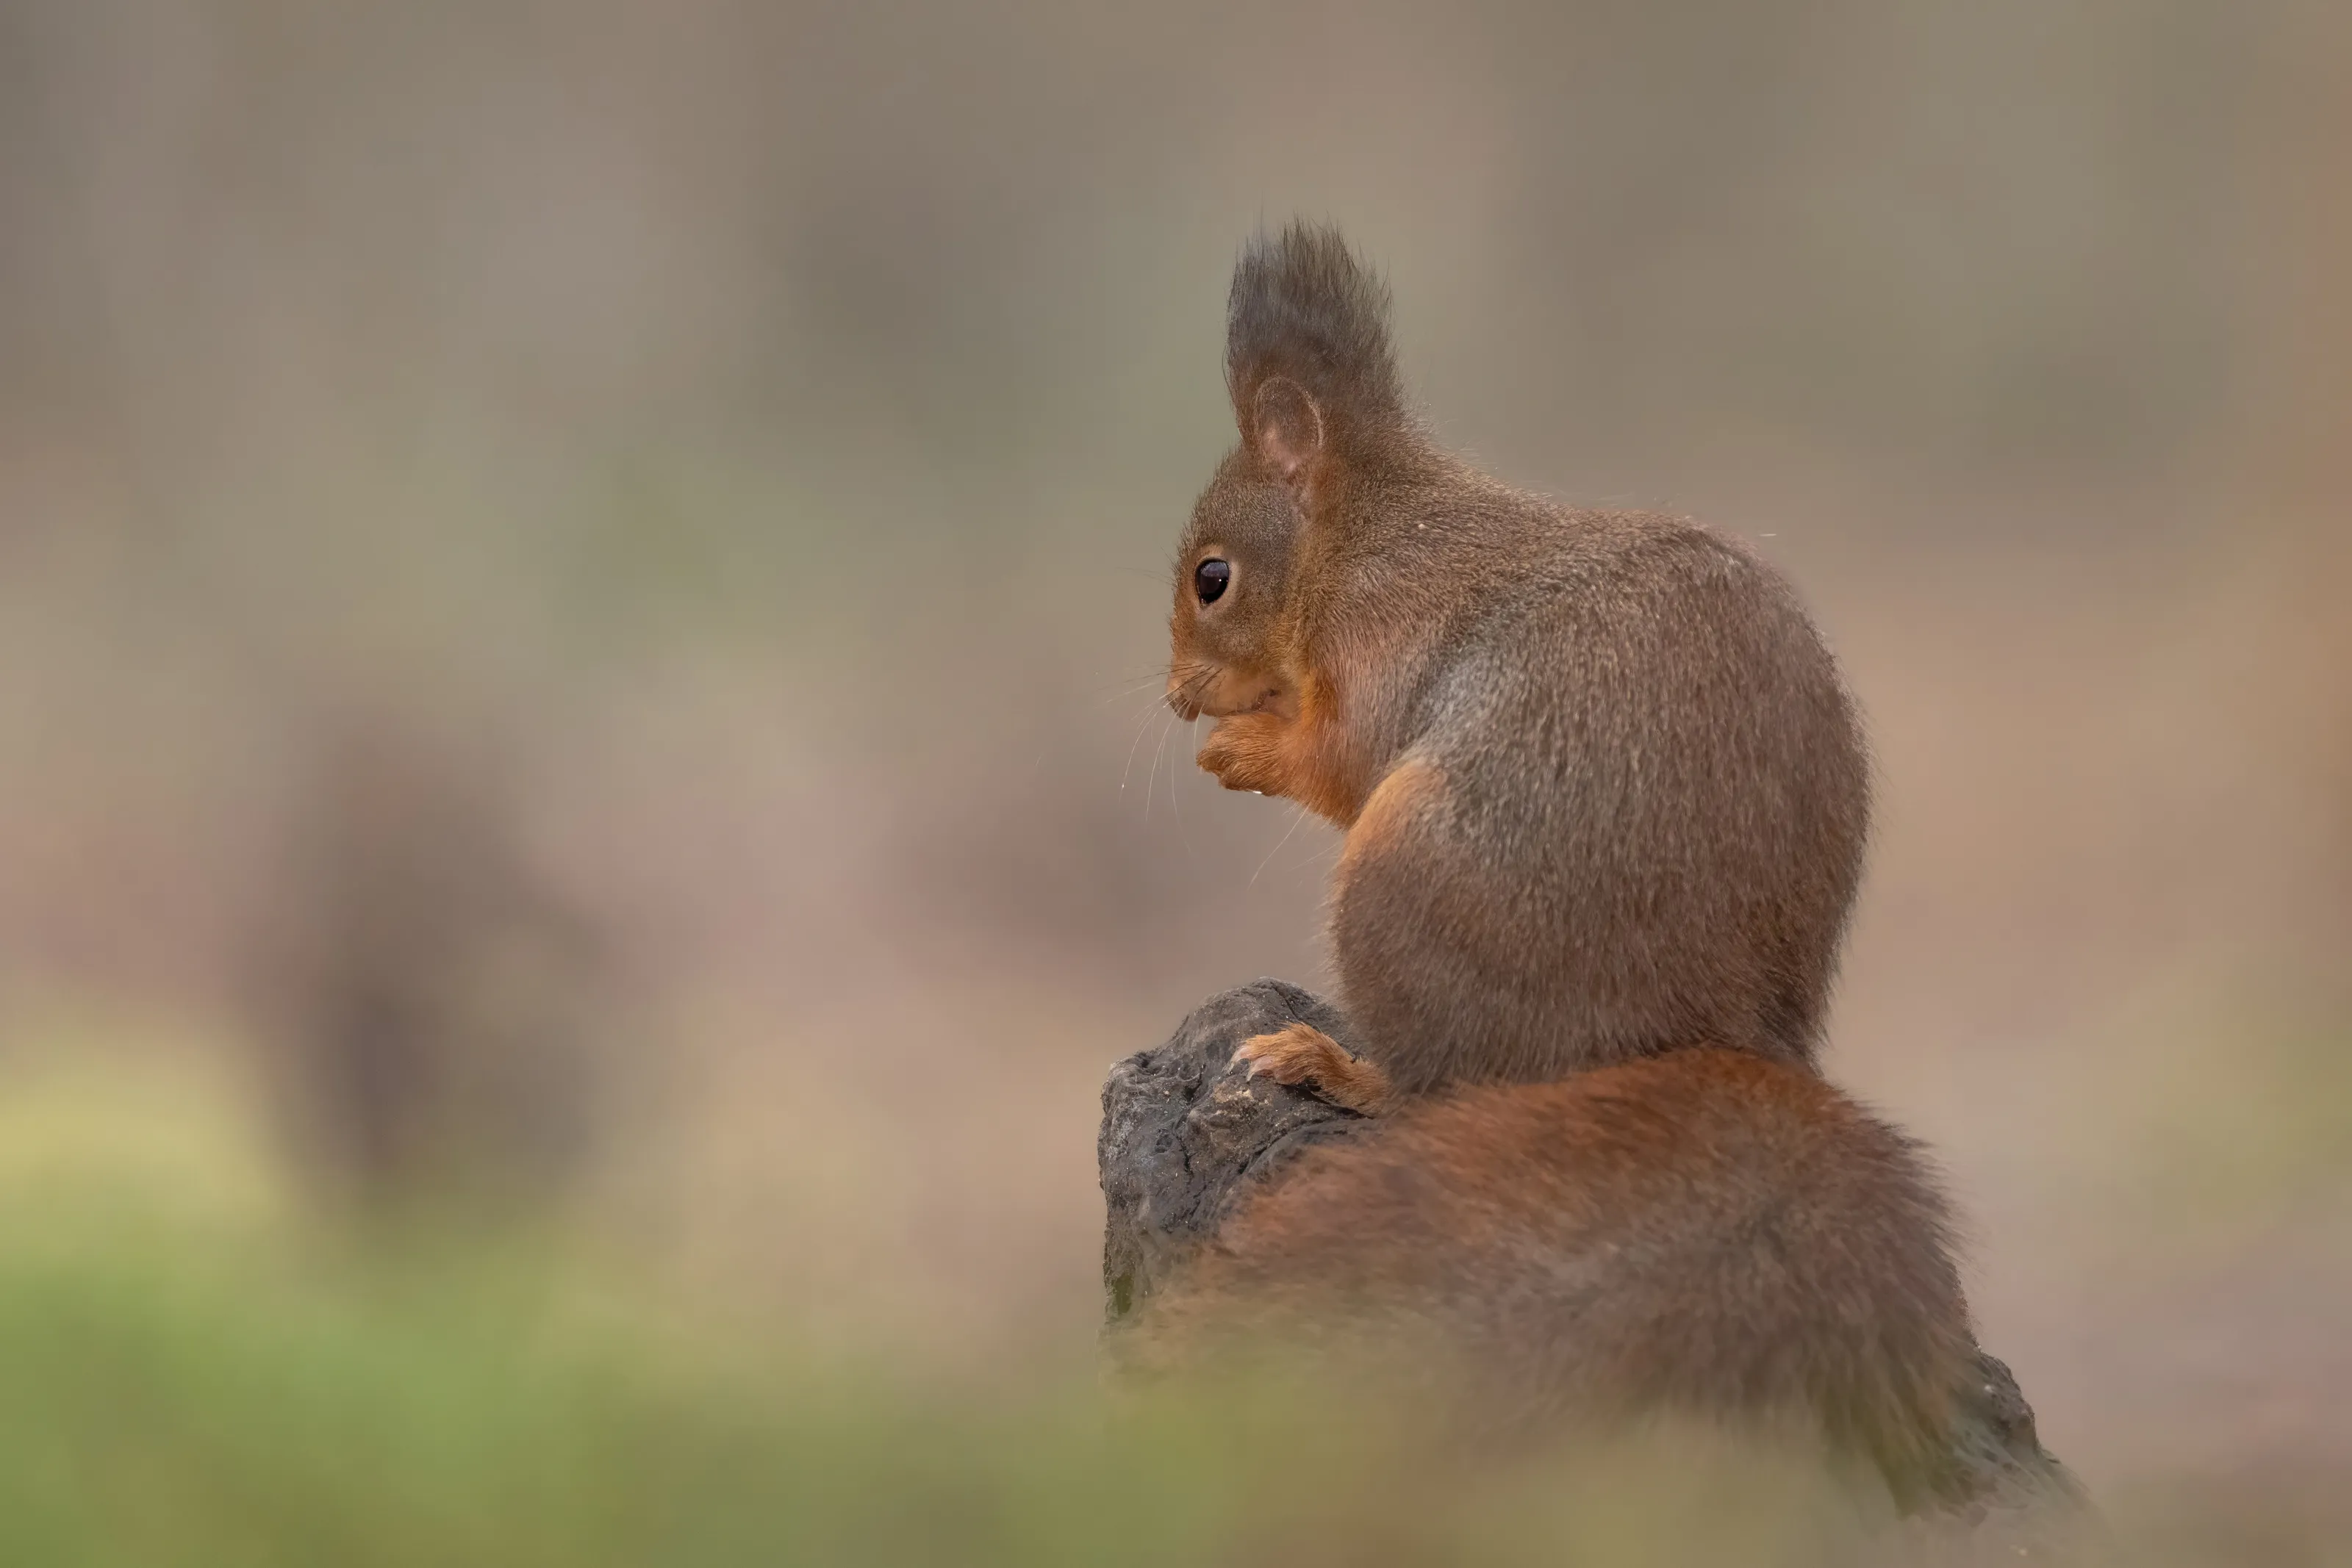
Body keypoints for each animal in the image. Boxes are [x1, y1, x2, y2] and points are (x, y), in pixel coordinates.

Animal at [1151, 222, 1974, 1497]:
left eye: (1212, 576)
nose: (1178, 694)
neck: (1360, 536)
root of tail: (1726, 1032)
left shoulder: (1380, 642)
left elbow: (1341, 755)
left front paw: (1245, 749)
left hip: (1406, 882)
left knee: (1445, 1081)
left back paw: (1336, 1064)